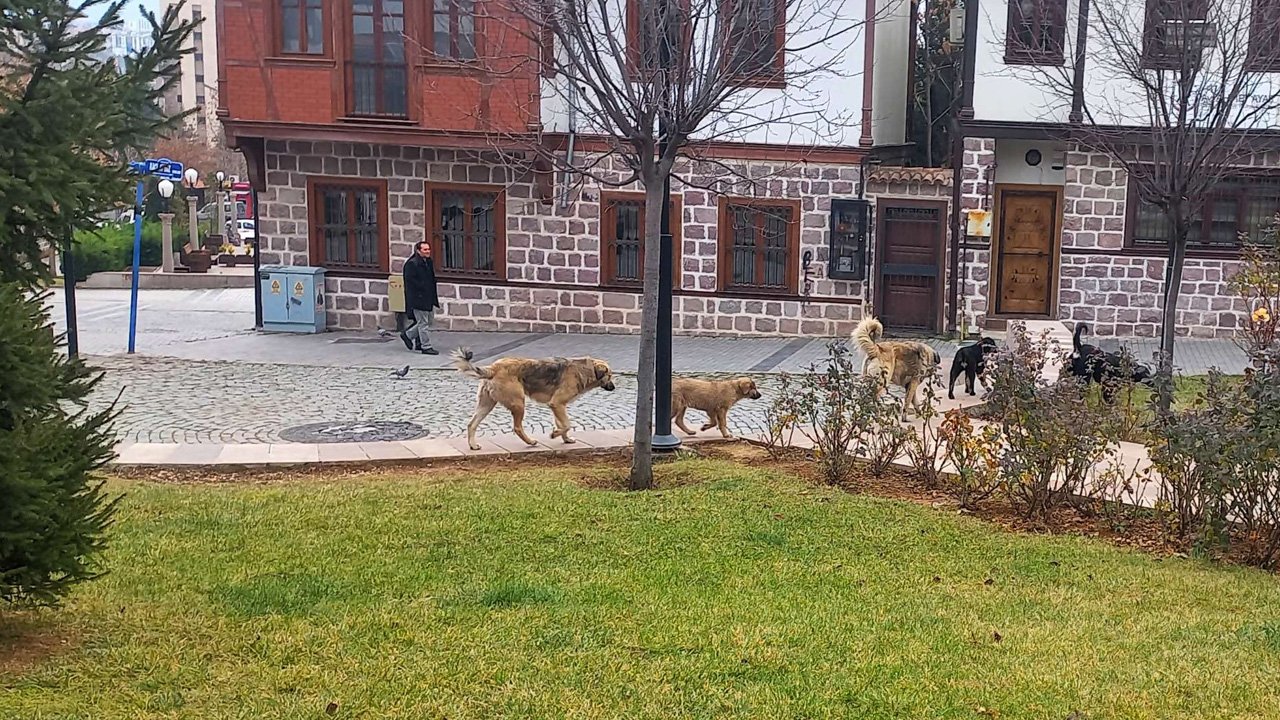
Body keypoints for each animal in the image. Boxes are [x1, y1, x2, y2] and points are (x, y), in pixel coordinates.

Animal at [450, 348, 614, 448]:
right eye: (610, 376)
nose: (613, 388)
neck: (586, 370)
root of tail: (493, 368)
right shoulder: (557, 403)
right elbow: (567, 424)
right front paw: (555, 434)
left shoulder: (557, 406)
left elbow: (562, 424)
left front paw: (565, 439)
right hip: (518, 403)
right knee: (517, 427)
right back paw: (530, 441)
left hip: (486, 404)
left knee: (471, 424)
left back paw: (472, 445)